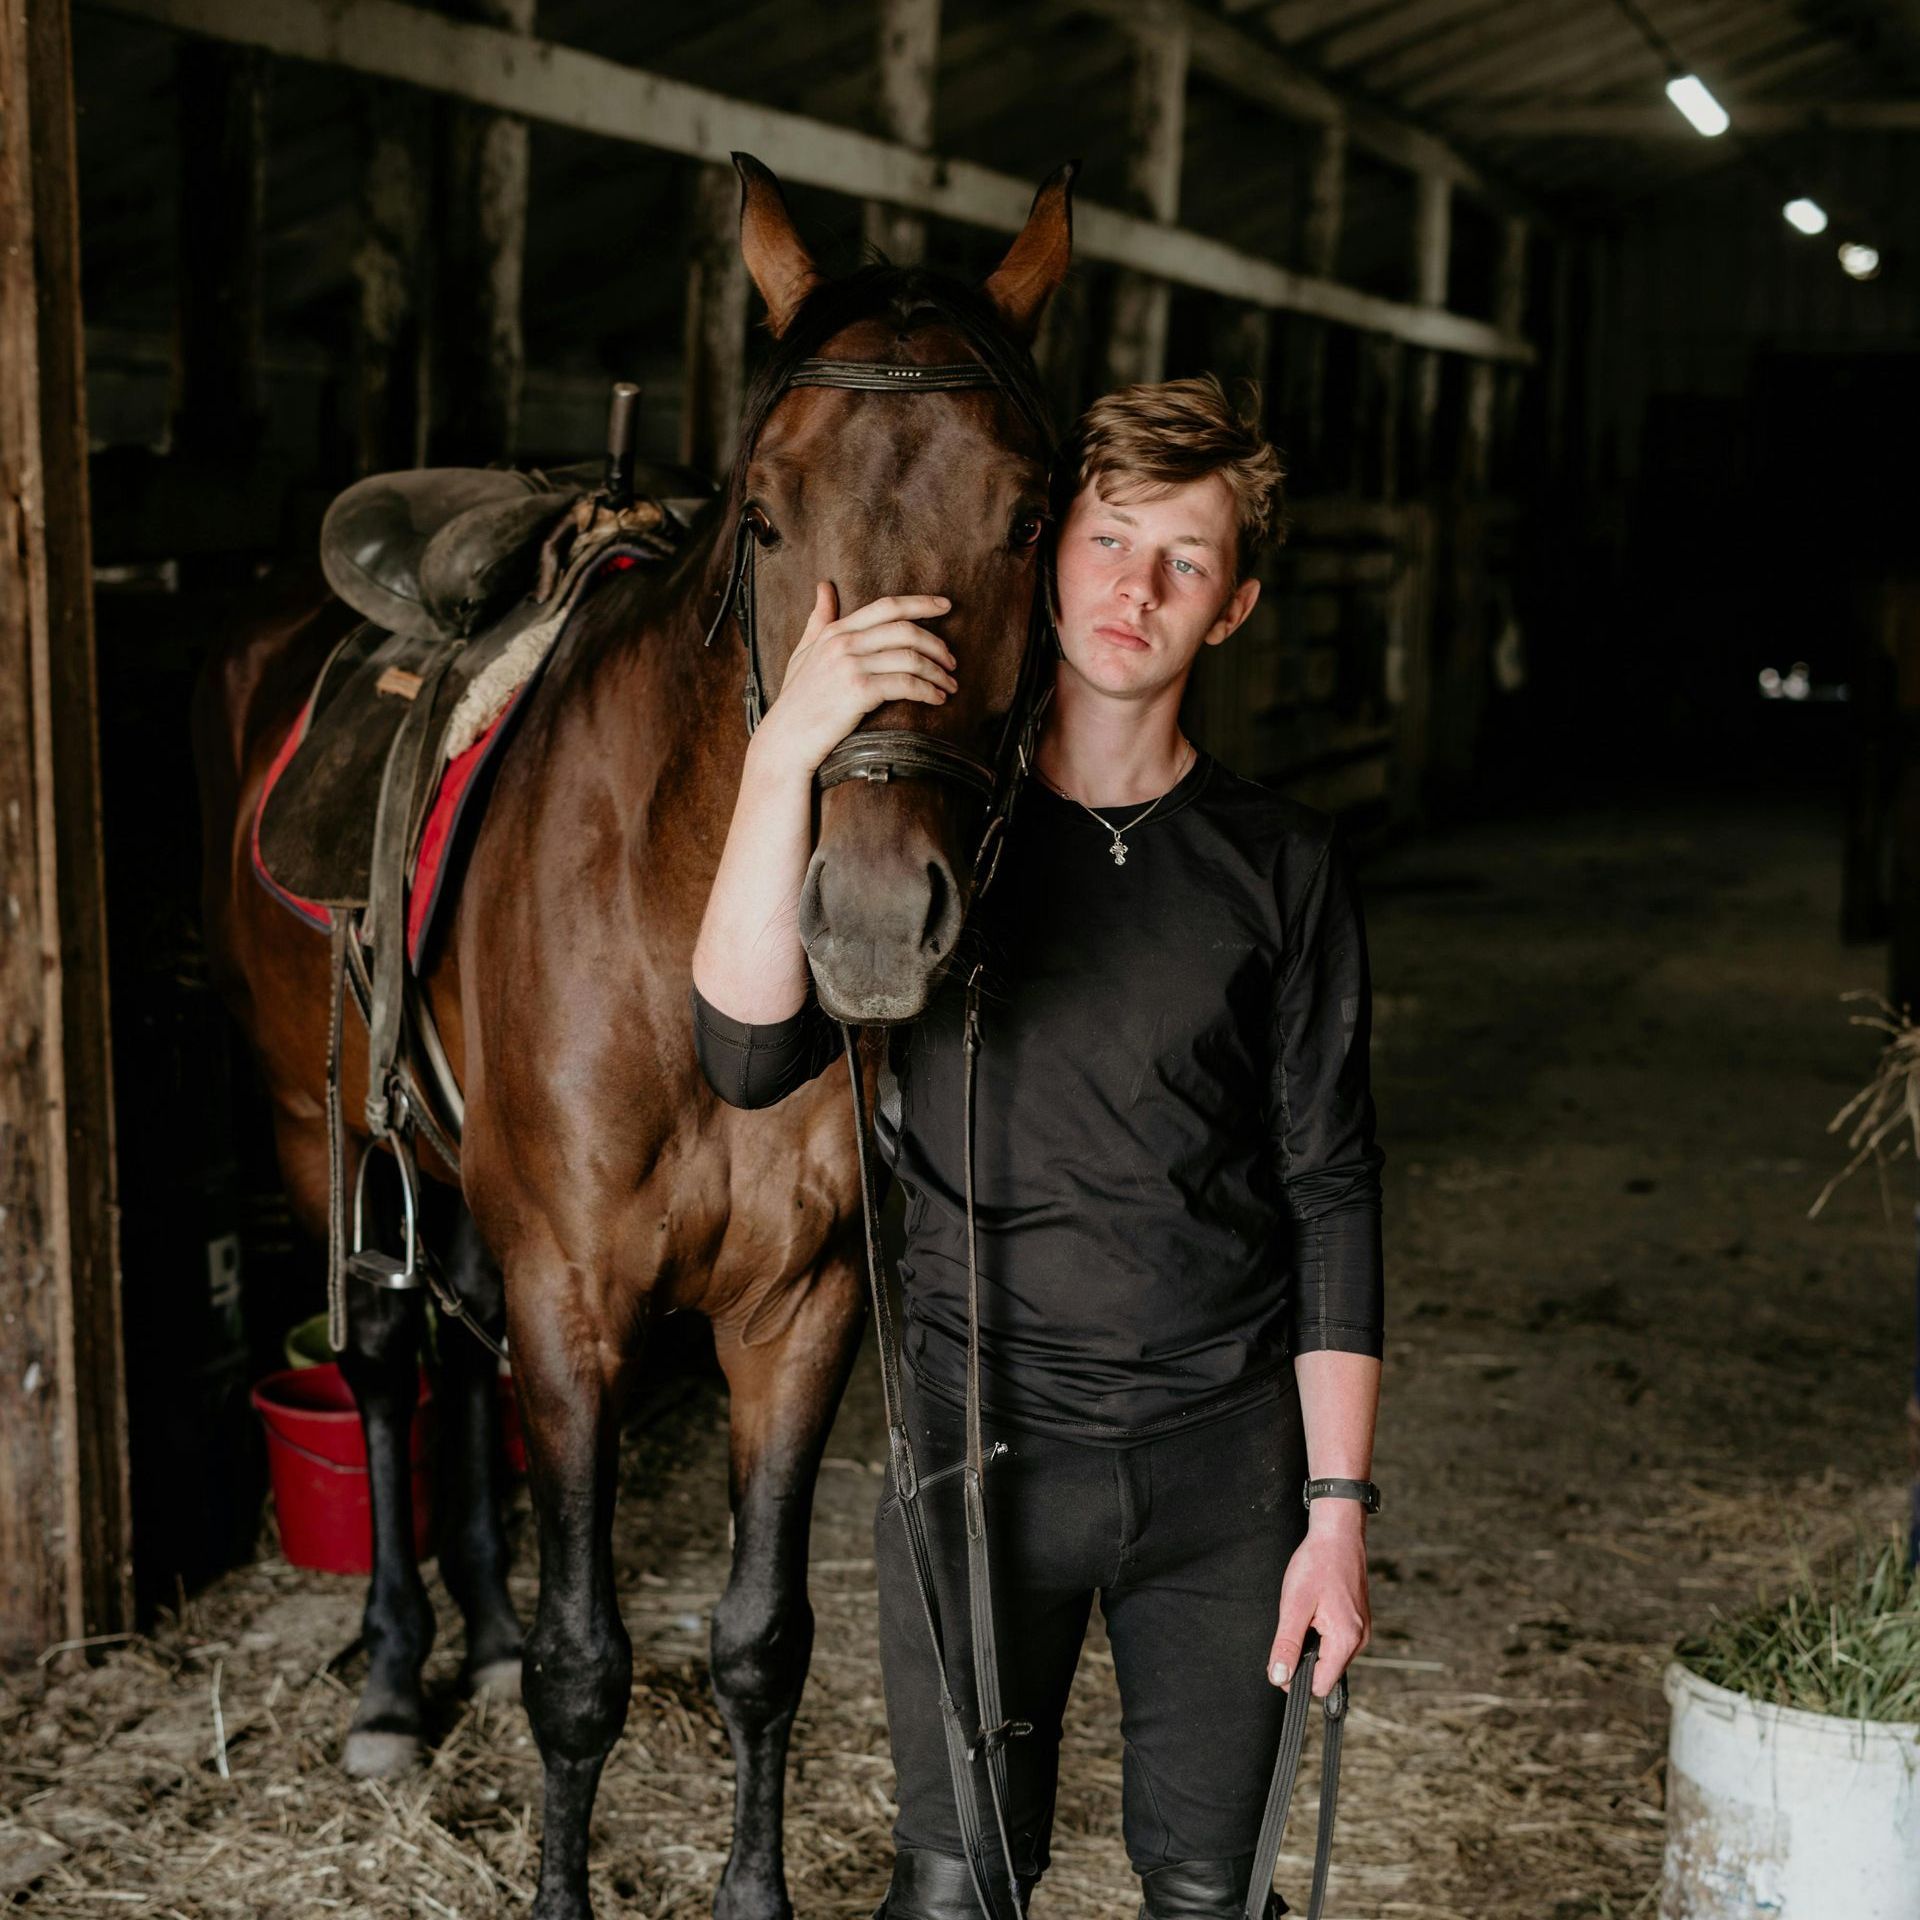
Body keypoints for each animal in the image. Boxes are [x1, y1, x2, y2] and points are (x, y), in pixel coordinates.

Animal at [193, 153, 1074, 1920]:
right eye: (767, 514)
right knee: (387, 1365)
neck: (689, 944)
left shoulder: (798, 1310)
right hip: (315, 1127)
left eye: (1028, 516)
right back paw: (393, 1680)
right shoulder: (578, 1298)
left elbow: (761, 1643)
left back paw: (472, 1620)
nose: (870, 918)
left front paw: (754, 1895)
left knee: (461, 1369)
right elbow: (584, 1671)